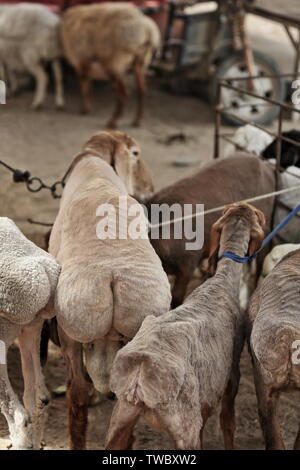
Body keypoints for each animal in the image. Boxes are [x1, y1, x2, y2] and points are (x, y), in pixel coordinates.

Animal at [105, 203, 264, 452]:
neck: (221, 281)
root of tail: (141, 369)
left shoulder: (205, 400)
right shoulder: (232, 376)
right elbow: (228, 423)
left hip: (121, 418)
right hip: (184, 423)